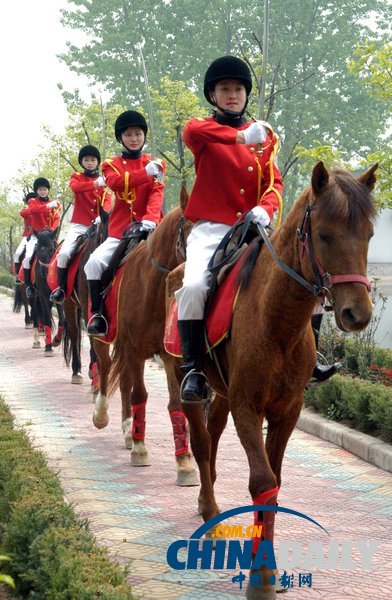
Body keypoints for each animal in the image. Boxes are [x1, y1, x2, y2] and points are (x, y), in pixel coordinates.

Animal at [92, 200, 199, 488]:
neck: (152, 286)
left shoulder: (169, 356)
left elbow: (175, 404)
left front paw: (184, 462)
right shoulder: (135, 350)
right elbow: (139, 394)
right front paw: (141, 450)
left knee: (123, 381)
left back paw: (129, 430)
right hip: (105, 338)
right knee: (105, 366)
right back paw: (103, 415)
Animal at [165, 162, 376, 596]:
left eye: (368, 235)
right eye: (324, 234)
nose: (357, 314)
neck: (277, 319)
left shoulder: (287, 410)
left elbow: (275, 482)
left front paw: (269, 570)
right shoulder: (248, 406)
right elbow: (262, 481)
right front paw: (260, 579)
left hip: (222, 394)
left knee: (212, 438)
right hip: (186, 378)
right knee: (200, 441)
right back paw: (209, 510)